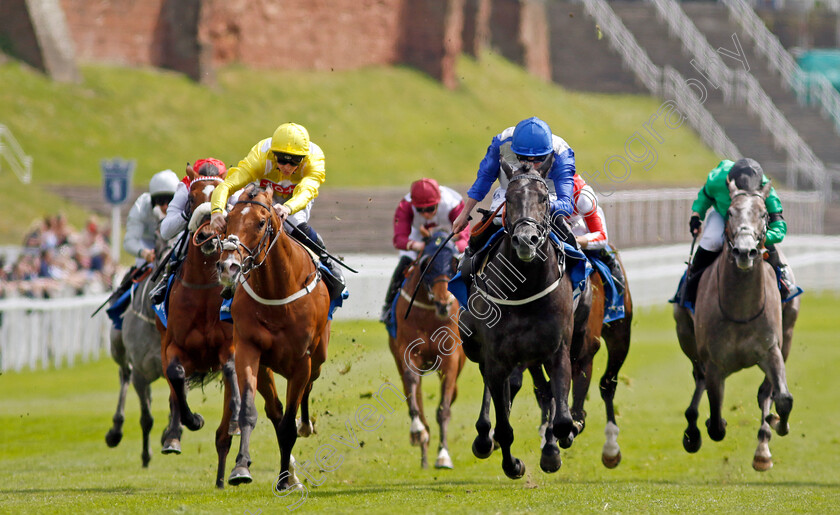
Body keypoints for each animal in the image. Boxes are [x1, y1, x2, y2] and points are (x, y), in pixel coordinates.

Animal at [158, 168, 238, 488]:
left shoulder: (230, 346)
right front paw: (193, 420)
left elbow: (231, 369)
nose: (206, 237)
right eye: (191, 199)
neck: (204, 289)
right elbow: (176, 375)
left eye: (222, 200)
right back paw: (173, 436)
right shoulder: (173, 347)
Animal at [215, 183, 330, 490]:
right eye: (227, 221)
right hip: (267, 367)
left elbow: (289, 425)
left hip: (318, 357)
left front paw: (283, 480)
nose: (229, 266)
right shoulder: (247, 349)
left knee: (307, 391)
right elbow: (249, 412)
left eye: (261, 222)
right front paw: (241, 467)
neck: (276, 291)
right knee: (274, 410)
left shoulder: (302, 362)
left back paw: (305, 429)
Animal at [388, 228, 466, 470]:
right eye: (426, 264)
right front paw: (418, 430)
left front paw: (443, 455)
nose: (444, 304)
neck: (430, 314)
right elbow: (413, 390)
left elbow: (444, 409)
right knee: (414, 395)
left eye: (454, 262)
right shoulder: (408, 352)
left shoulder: (450, 359)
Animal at [456, 169, 580, 480]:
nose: (527, 240)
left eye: (544, 199)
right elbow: (504, 425)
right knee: (493, 387)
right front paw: (512, 464)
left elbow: (561, 418)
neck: (524, 287)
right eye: (510, 199)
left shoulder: (557, 350)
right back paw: (484, 438)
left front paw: (559, 443)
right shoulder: (497, 357)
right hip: (478, 349)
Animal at [676, 181, 800, 472]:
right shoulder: (714, 362)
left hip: (787, 334)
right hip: (685, 334)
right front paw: (706, 425)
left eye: (764, 214)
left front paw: (777, 424)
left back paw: (763, 446)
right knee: (698, 378)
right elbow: (716, 422)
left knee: (765, 393)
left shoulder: (772, 349)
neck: (740, 309)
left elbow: (783, 398)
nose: (745, 251)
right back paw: (693, 430)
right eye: (730, 212)